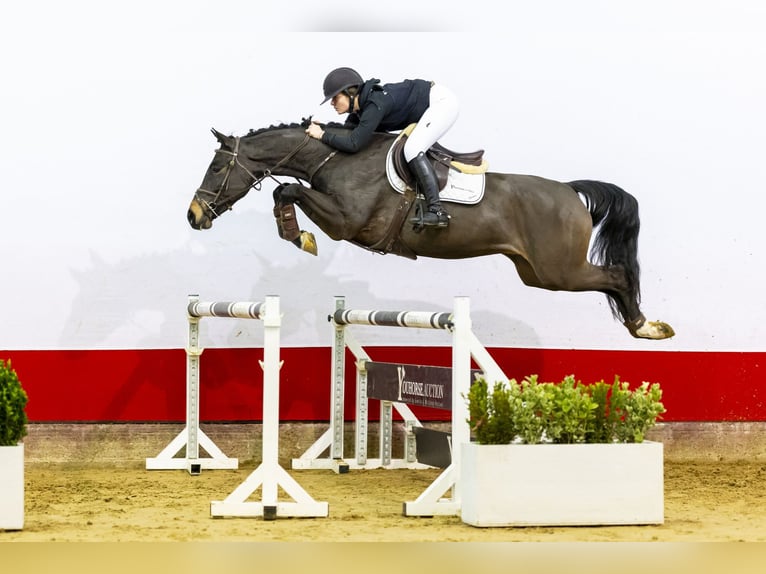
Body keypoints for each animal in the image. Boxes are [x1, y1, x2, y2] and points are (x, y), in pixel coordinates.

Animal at [189, 119, 676, 340]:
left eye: (217, 167)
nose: (194, 215)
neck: (338, 157)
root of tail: (571, 191)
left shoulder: (347, 223)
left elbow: (287, 189)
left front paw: (298, 236)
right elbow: (284, 191)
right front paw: (293, 232)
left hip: (559, 272)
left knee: (616, 276)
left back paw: (644, 327)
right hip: (536, 272)